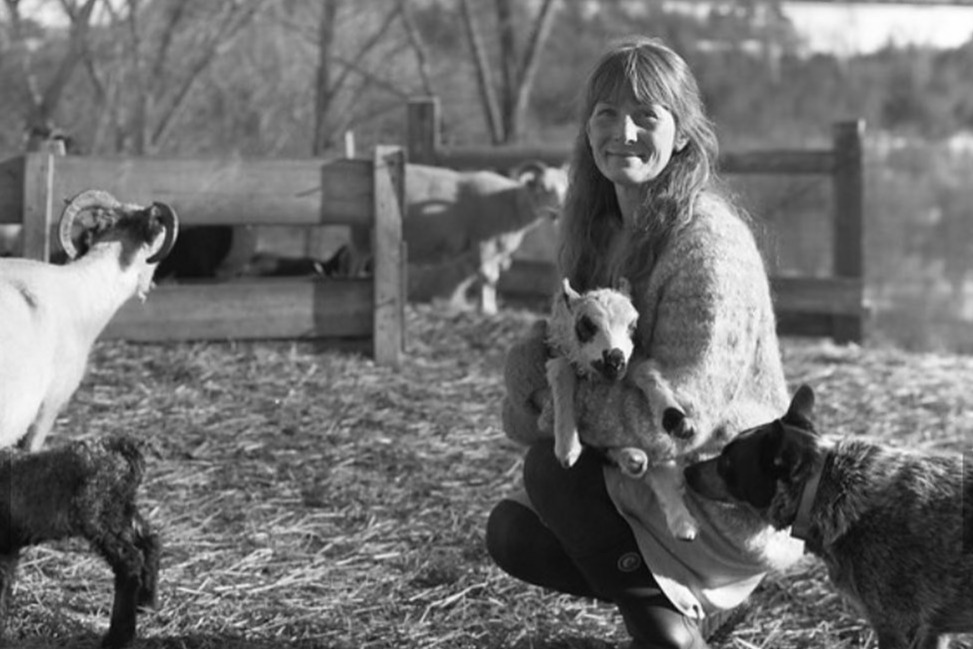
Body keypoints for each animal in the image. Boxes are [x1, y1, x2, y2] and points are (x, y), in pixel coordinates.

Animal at [0, 435, 159, 648]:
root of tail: (121, 445)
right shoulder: (8, 548)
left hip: (97, 515)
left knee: (129, 562)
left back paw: (117, 637)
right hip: (121, 511)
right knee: (150, 541)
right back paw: (146, 600)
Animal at [541, 278, 700, 541]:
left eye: (632, 325)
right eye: (587, 324)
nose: (614, 359)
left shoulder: (633, 362)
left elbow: (647, 373)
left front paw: (676, 419)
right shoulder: (562, 354)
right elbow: (561, 372)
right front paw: (567, 446)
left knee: (662, 470)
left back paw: (683, 523)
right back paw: (633, 459)